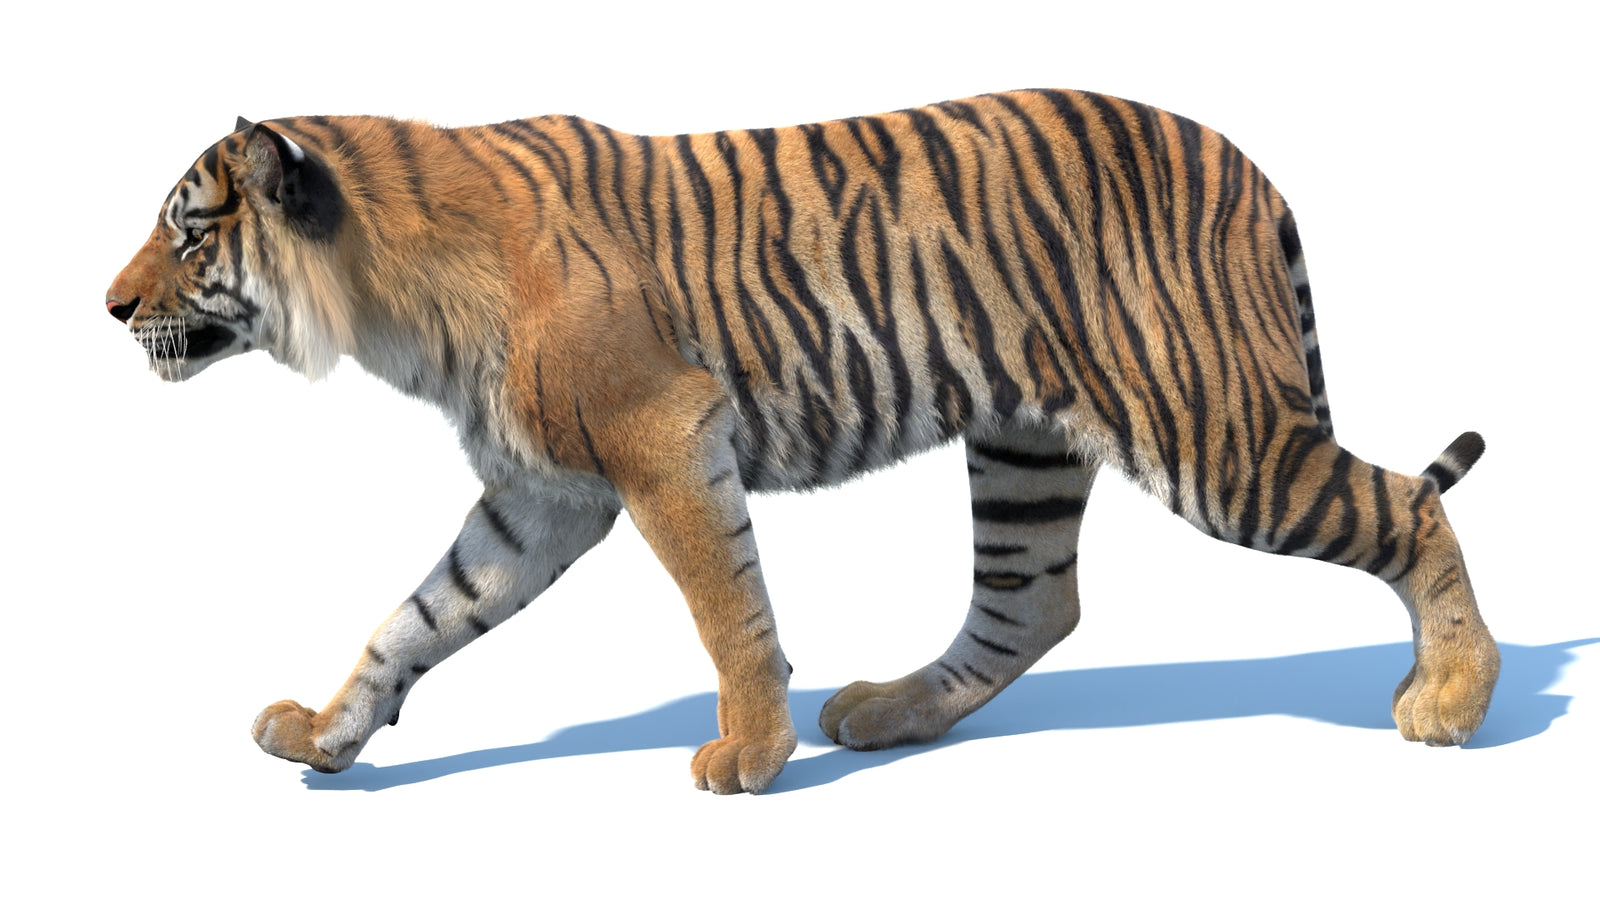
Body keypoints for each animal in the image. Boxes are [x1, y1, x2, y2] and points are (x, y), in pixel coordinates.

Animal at [106, 90, 1498, 794]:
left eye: (188, 232)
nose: (109, 307)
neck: (387, 300)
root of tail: (1247, 161)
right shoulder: (540, 492)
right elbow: (417, 616)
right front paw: (325, 737)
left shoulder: (662, 437)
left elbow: (727, 607)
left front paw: (748, 756)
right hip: (1024, 444)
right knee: (1032, 604)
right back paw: (885, 713)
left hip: (1217, 432)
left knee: (1408, 507)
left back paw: (1449, 700)